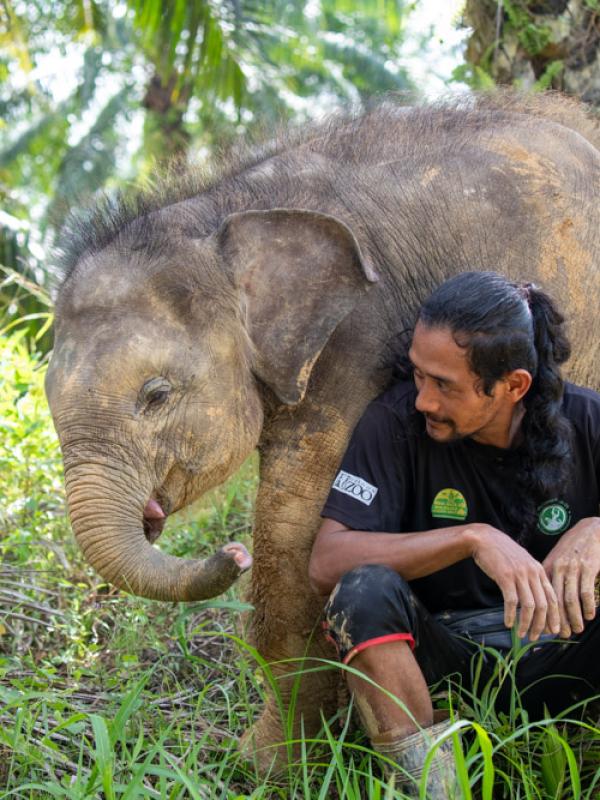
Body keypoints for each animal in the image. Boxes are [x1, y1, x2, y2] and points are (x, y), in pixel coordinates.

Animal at [45, 92, 600, 768]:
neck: (222, 211)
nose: (230, 552)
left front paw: (268, 766)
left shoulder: (356, 338)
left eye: (156, 396)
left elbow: (295, 532)